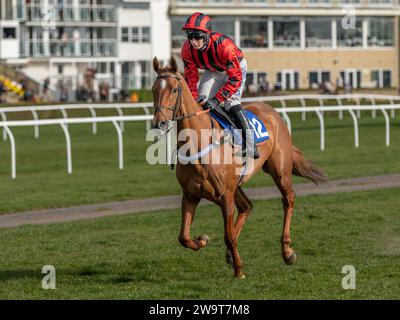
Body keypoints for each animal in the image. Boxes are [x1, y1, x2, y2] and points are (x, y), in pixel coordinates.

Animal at [152, 57, 326, 278]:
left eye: (174, 89)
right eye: (154, 89)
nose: (159, 123)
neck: (199, 143)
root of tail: (272, 111)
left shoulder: (225, 197)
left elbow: (229, 236)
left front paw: (239, 271)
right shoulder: (191, 195)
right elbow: (184, 237)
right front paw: (203, 240)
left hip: (279, 170)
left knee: (288, 199)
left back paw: (287, 251)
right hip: (237, 185)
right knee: (247, 206)